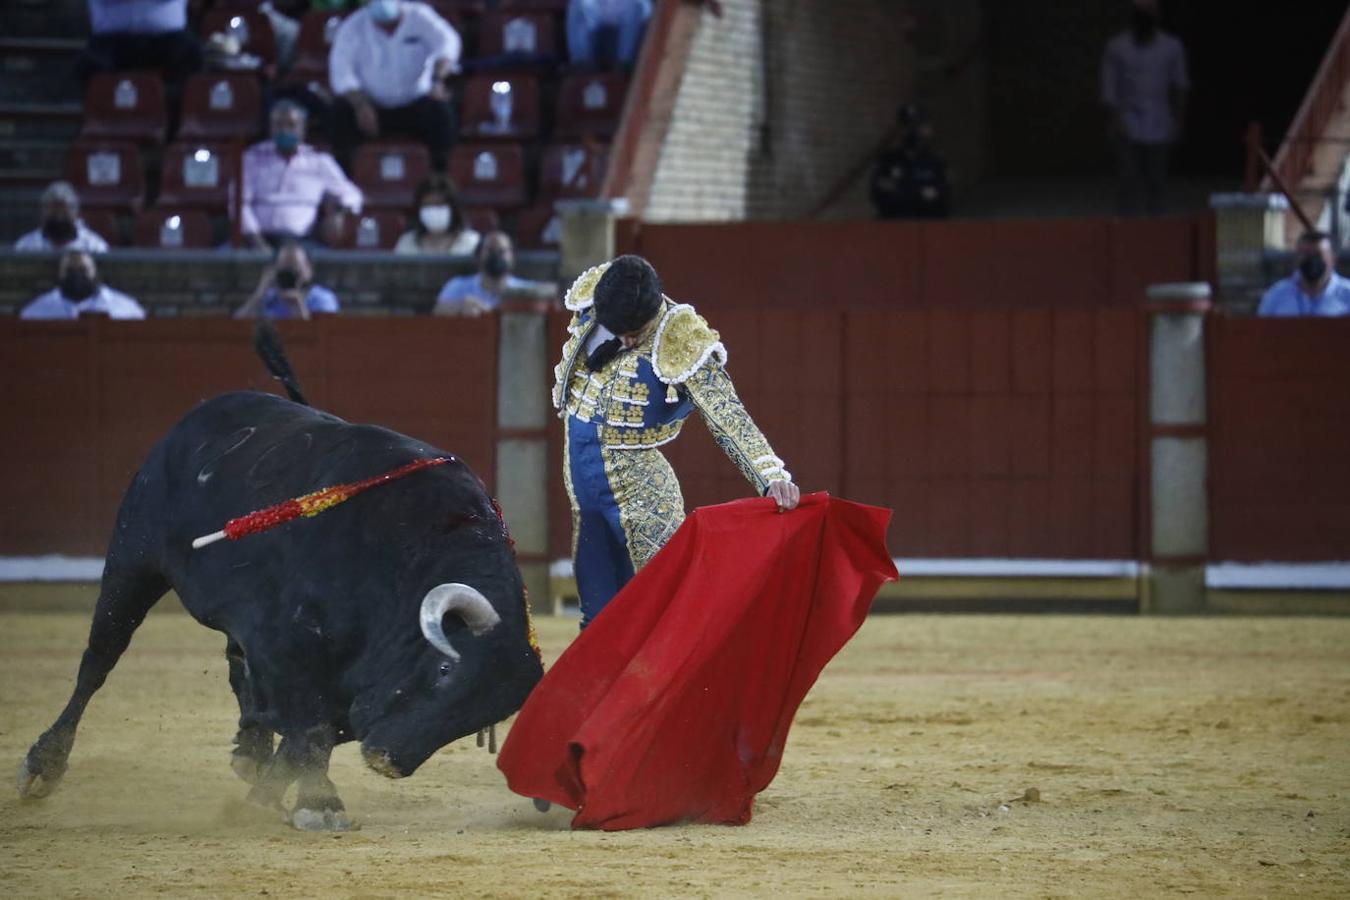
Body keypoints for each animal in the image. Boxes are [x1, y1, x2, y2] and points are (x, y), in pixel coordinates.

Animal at [15, 391, 540, 825]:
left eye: (480, 717)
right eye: (446, 672)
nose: (386, 760)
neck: (410, 557)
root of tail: (199, 415)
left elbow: (308, 733)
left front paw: (269, 796)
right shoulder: (286, 644)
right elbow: (312, 729)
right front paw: (317, 804)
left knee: (238, 670)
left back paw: (250, 750)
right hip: (133, 559)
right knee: (99, 660)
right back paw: (42, 766)